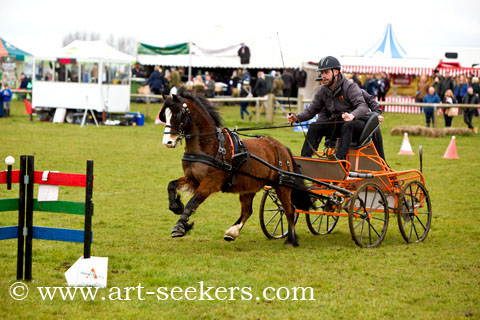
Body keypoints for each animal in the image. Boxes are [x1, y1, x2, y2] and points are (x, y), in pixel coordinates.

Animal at [160, 91, 312, 246]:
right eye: (164, 115)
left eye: (177, 114)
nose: (168, 142)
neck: (212, 145)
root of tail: (282, 147)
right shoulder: (192, 179)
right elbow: (171, 185)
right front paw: (176, 206)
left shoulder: (210, 183)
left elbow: (193, 202)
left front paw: (180, 226)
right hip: (249, 186)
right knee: (247, 211)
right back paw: (232, 232)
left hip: (282, 186)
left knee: (289, 210)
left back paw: (291, 239)